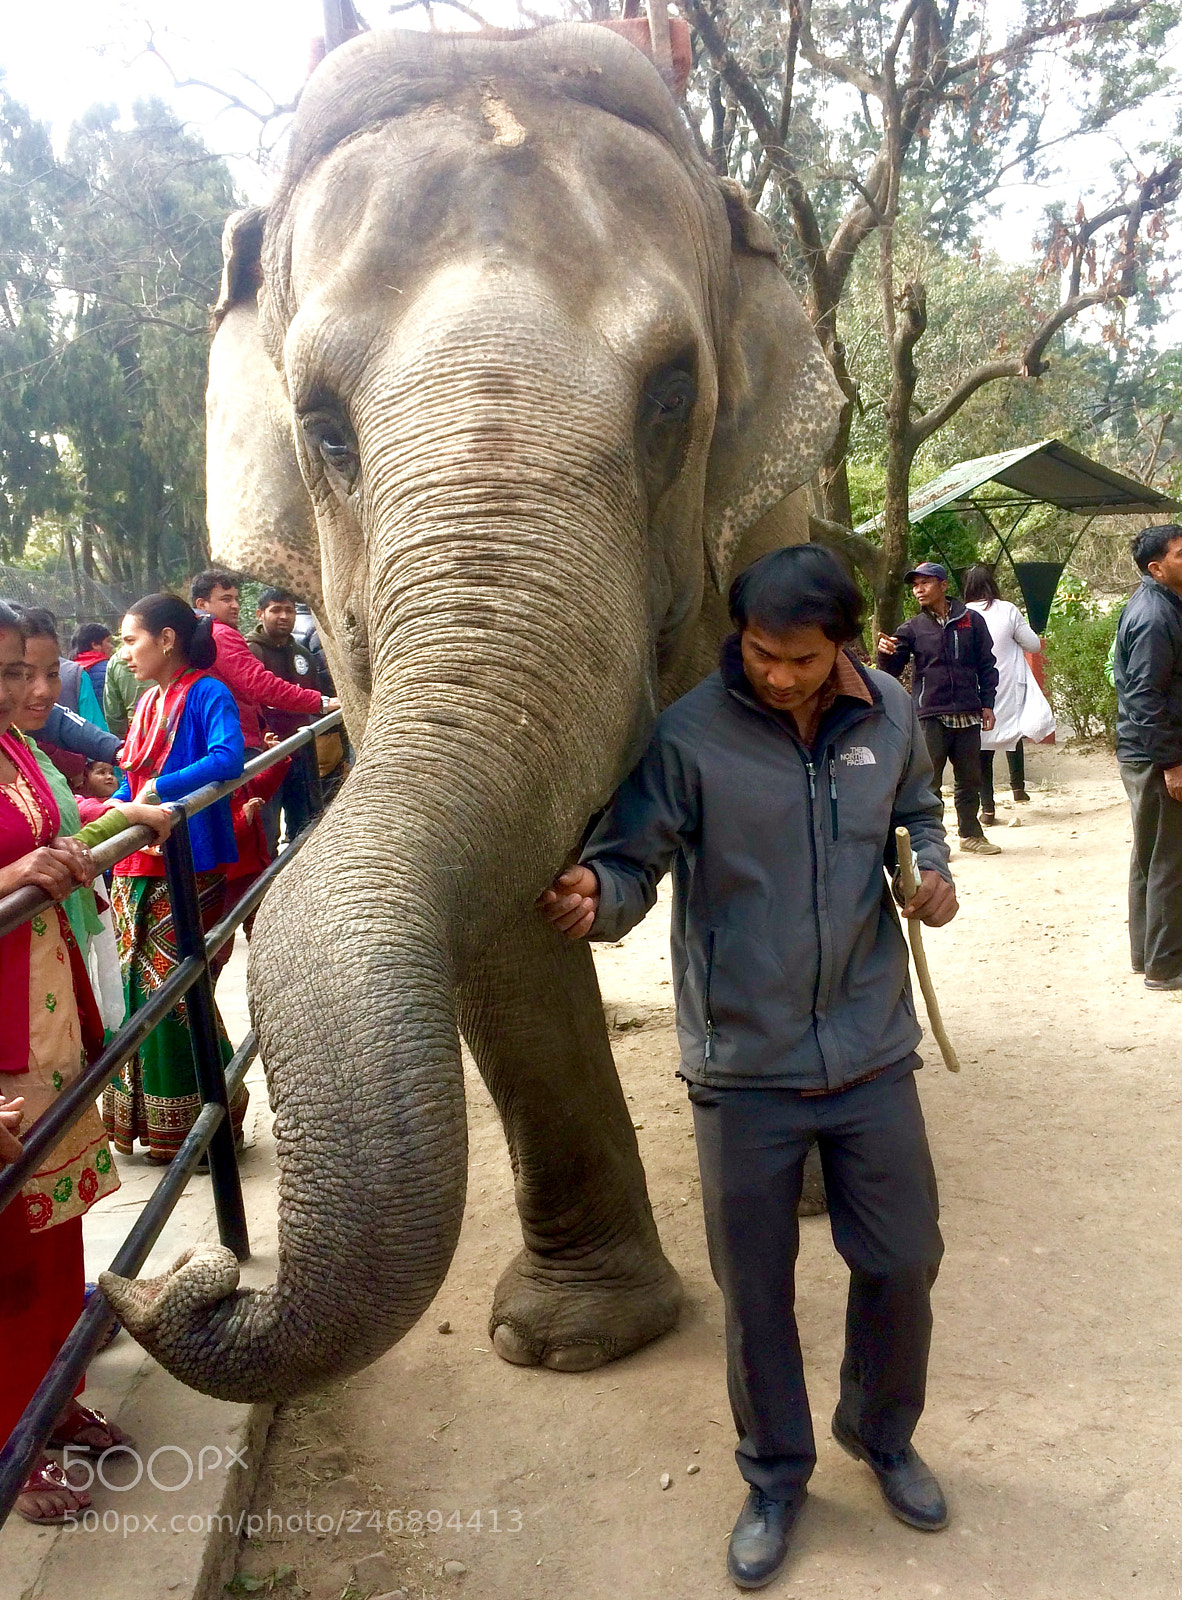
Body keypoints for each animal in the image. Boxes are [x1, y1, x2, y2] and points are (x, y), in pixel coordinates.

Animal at [100, 21, 842, 1402]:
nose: (177, 1276)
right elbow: (496, 923)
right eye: (323, 428)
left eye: (674, 395)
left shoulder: (757, 527)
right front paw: (569, 1344)